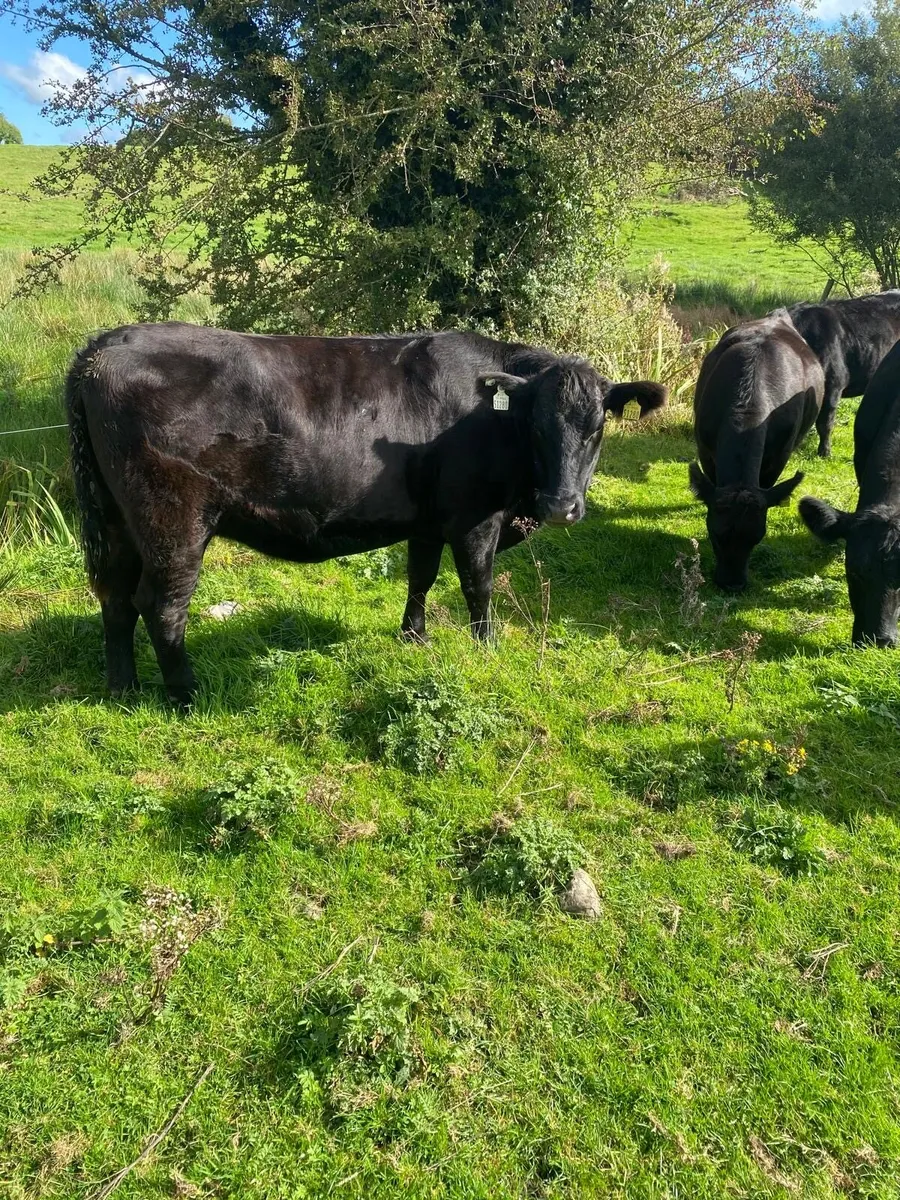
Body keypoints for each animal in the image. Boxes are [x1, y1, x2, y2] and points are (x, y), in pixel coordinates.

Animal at [66, 322, 666, 705]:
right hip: (175, 520)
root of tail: (103, 346)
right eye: (536, 426)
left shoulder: (428, 519)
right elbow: (477, 585)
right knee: (160, 604)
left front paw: (414, 637)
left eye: (597, 428)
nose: (561, 506)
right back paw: (187, 694)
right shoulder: (474, 518)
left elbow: (421, 576)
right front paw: (487, 648)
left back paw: (123, 688)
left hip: (116, 518)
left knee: (115, 596)